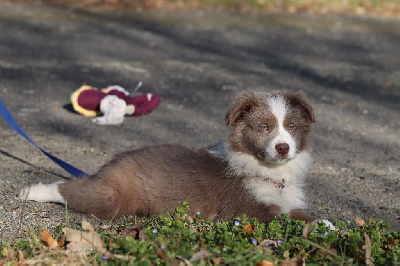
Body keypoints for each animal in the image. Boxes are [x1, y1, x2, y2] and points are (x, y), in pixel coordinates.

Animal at [18, 91, 324, 224]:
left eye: (292, 127)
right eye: (264, 128)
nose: (283, 148)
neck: (268, 172)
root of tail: (119, 158)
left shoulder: (288, 201)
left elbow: (306, 215)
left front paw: (328, 227)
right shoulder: (248, 210)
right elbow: (293, 219)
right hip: (113, 198)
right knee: (69, 189)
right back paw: (30, 191)